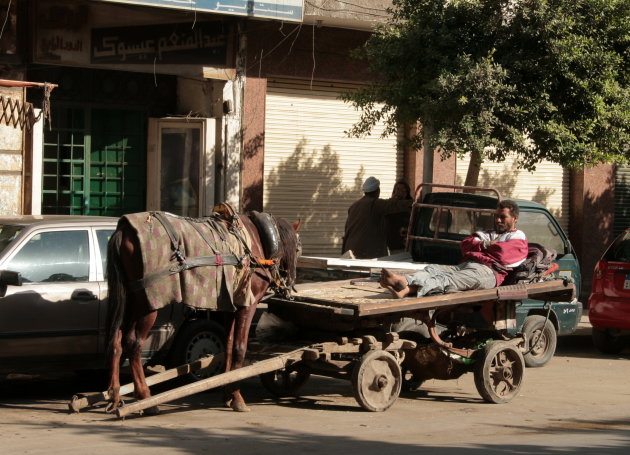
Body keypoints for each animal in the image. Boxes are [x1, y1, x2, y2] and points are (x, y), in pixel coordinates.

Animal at [105, 208, 302, 416]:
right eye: (298, 249)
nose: (290, 283)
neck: (257, 241)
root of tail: (124, 230)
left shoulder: (230, 306)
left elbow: (228, 346)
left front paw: (227, 394)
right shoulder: (248, 304)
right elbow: (239, 348)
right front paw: (237, 397)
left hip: (129, 300)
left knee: (116, 341)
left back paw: (115, 395)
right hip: (147, 303)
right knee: (133, 344)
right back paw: (146, 398)